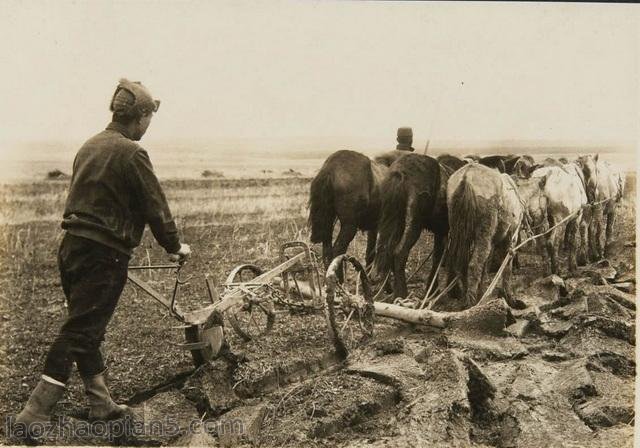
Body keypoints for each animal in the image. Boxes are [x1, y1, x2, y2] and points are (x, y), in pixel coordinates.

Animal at [370, 152, 450, 300]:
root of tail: (400, 173)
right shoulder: (441, 231)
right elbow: (437, 257)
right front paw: (433, 290)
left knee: (386, 249)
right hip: (413, 225)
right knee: (399, 253)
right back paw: (402, 295)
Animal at [444, 163, 544, 310]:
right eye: (544, 196)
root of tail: (466, 176)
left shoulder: (492, 241)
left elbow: (485, 267)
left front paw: (482, 293)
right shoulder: (509, 238)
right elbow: (507, 267)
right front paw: (509, 298)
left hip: (460, 232)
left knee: (461, 264)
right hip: (483, 234)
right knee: (473, 264)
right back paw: (471, 302)